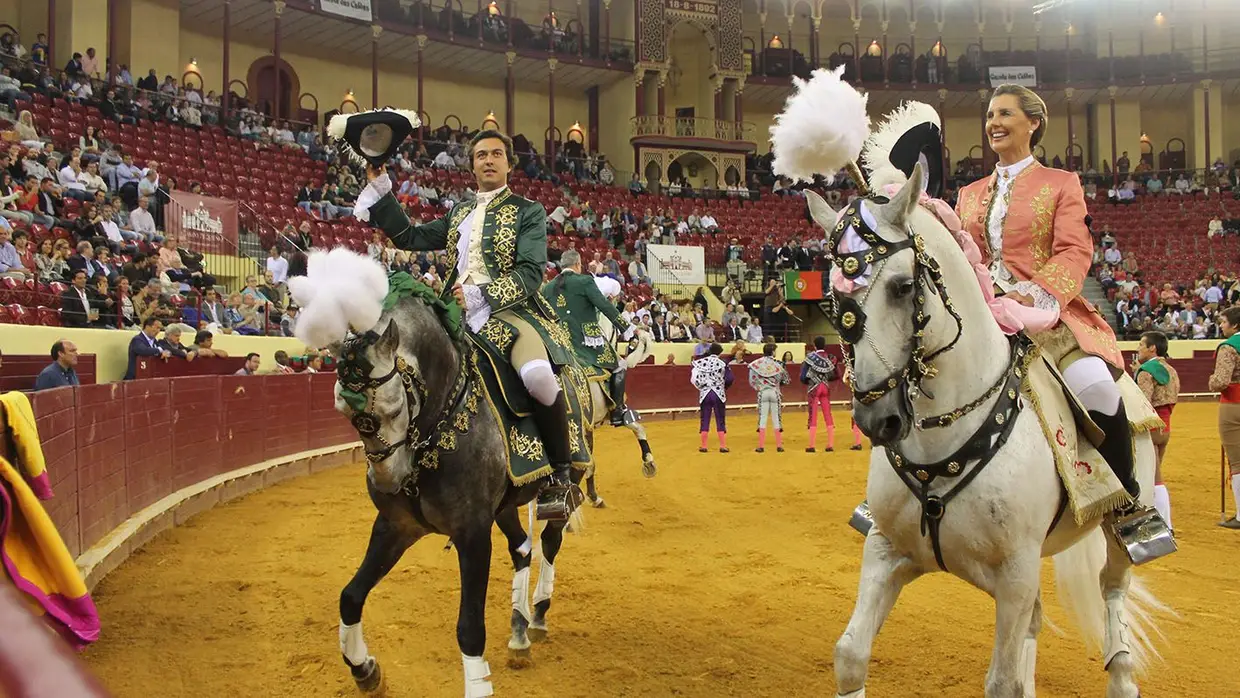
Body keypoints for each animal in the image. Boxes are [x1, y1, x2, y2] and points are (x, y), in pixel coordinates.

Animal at [808, 164, 1165, 698]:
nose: (878, 420)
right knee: (1037, 623)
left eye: (902, 286)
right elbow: (850, 654)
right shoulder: (888, 550)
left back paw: (1122, 674)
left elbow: (1001, 681)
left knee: (1112, 587)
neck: (943, 439)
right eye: (835, 303)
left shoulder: (1014, 573)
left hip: (1117, 526)